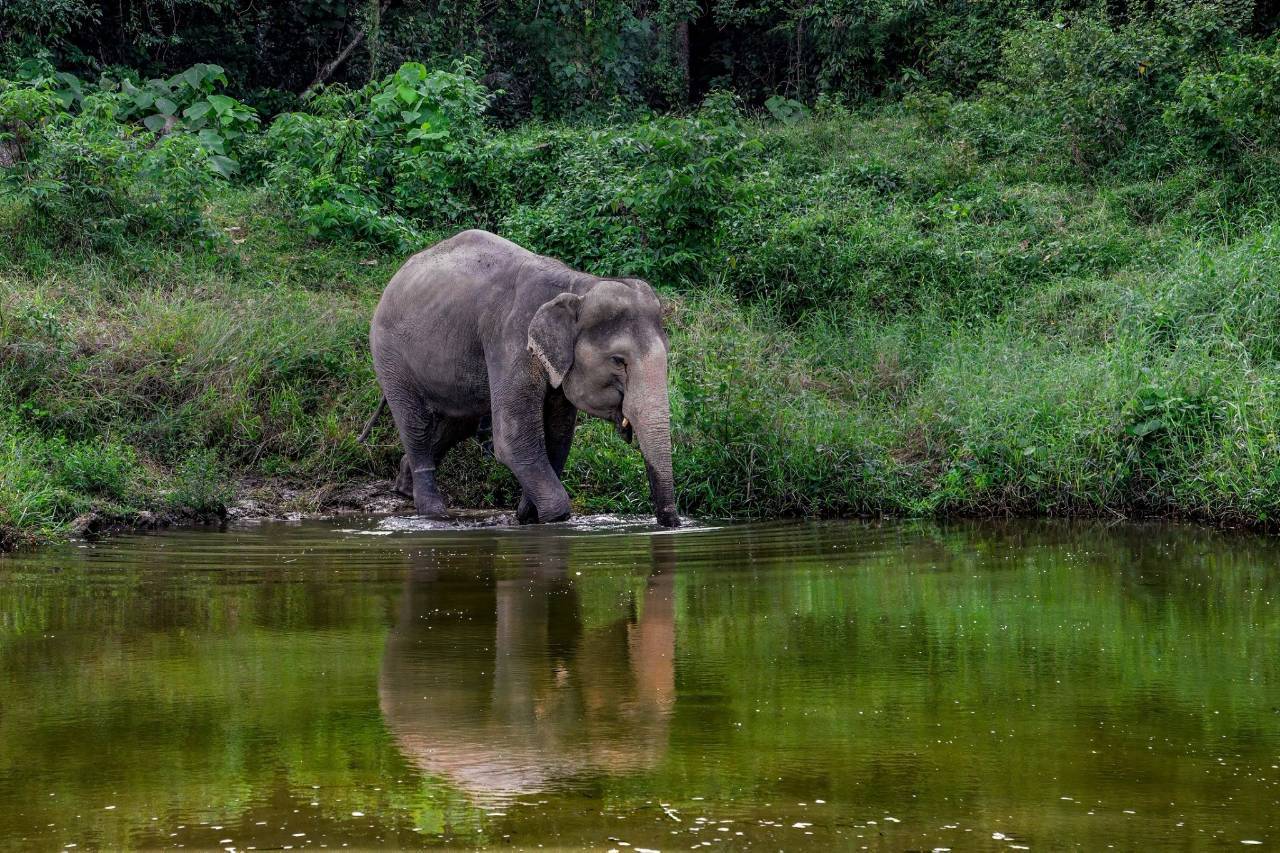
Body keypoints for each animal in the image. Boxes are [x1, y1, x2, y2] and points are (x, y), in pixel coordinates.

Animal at [369, 229, 679, 527]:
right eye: (618, 361)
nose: (672, 522)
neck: (577, 286)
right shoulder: (512, 342)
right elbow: (512, 439)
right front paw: (552, 517)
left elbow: (559, 438)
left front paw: (526, 515)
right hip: (389, 355)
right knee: (415, 423)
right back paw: (433, 512)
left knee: (459, 423)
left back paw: (403, 485)